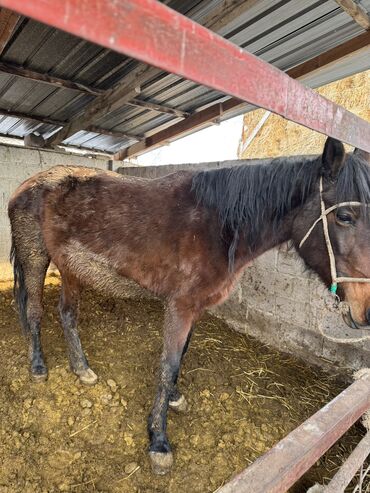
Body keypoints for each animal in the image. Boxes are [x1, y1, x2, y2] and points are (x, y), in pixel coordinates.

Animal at [7, 137, 370, 472]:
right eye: (344, 216)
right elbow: (168, 364)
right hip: (36, 258)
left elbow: (180, 356)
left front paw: (174, 398)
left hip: (71, 268)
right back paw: (38, 366)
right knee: (35, 311)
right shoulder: (179, 306)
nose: (365, 312)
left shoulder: (195, 308)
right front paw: (158, 441)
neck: (219, 226)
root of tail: (25, 186)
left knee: (67, 314)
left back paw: (81, 368)